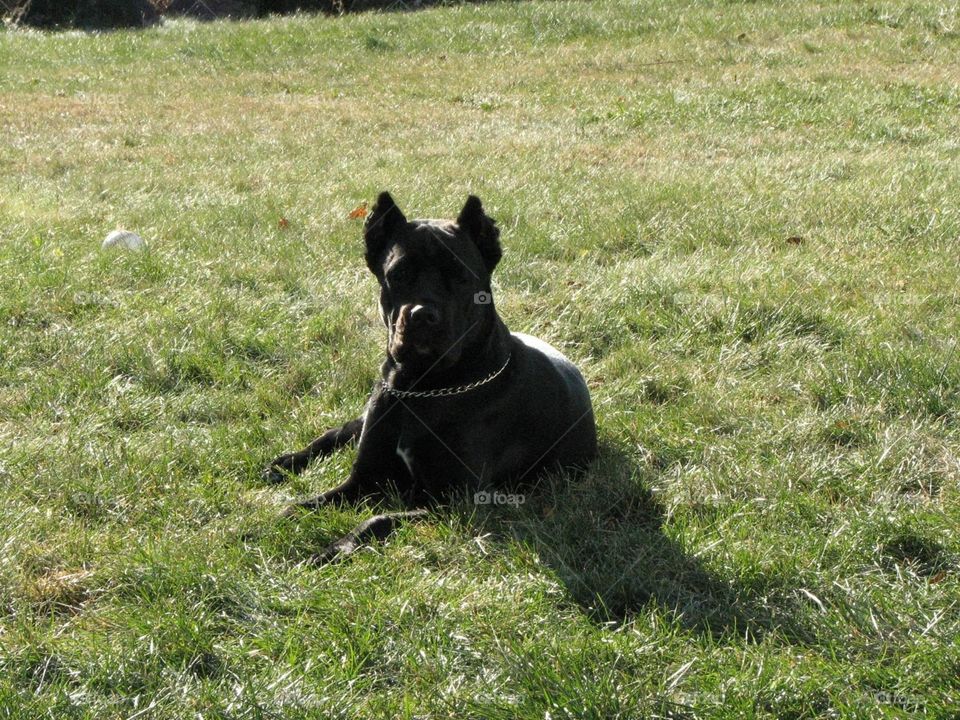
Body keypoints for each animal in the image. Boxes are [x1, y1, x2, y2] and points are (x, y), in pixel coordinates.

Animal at [262, 193, 592, 564]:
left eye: (460, 275)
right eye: (399, 273)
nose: (422, 315)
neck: (422, 388)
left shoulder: (449, 499)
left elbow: (377, 519)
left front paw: (330, 549)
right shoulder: (364, 477)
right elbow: (302, 506)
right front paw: (268, 525)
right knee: (338, 432)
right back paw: (285, 463)